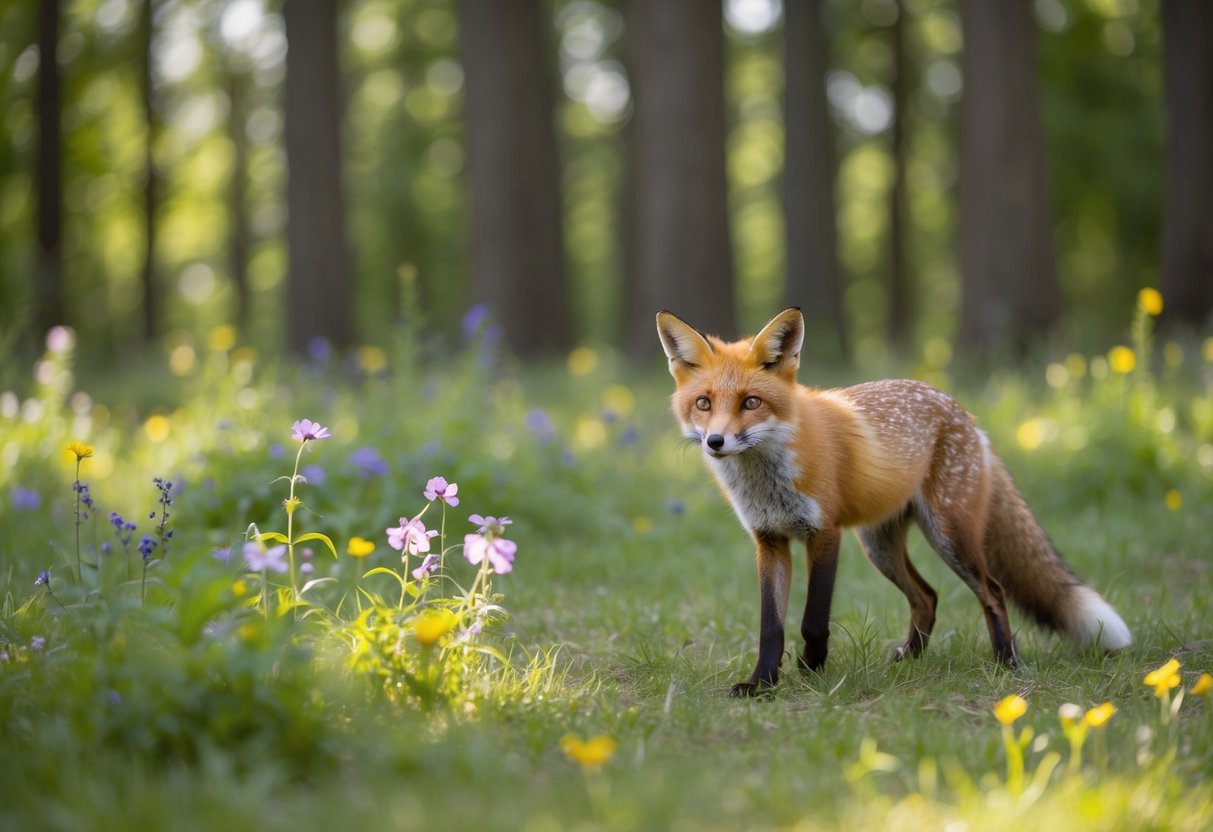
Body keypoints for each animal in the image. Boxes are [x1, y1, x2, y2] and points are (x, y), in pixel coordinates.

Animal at [656, 307, 1131, 697]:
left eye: (751, 402)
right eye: (704, 403)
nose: (716, 442)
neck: (769, 478)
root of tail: (964, 413)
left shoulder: (825, 533)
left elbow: (813, 620)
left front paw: (812, 669)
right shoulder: (770, 540)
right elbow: (770, 627)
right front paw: (762, 685)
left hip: (949, 536)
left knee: (993, 591)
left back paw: (1007, 664)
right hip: (880, 546)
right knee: (927, 597)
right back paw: (910, 661)